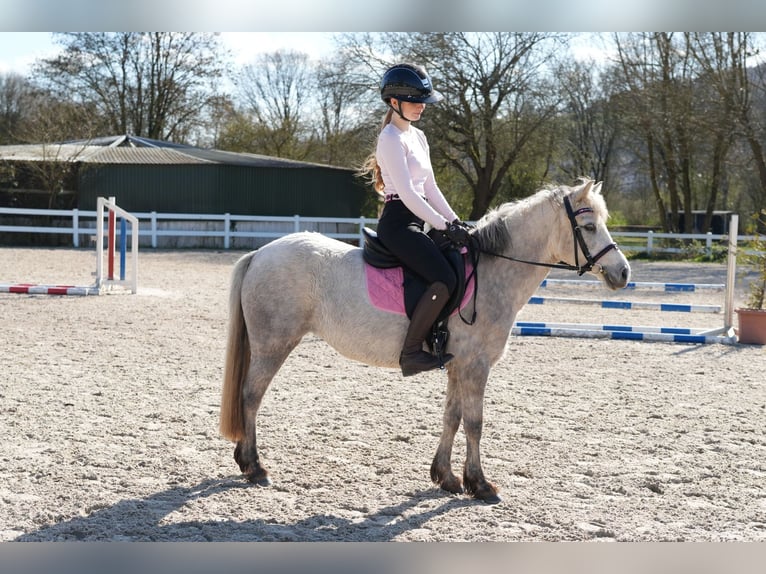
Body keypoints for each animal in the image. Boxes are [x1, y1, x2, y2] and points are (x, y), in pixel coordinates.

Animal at [219, 179, 631, 504]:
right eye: (589, 226)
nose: (623, 273)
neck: (492, 272)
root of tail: (262, 252)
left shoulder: (457, 365)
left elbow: (451, 417)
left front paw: (446, 477)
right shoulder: (476, 366)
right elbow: (475, 422)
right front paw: (480, 485)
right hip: (274, 344)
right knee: (250, 397)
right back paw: (254, 466)